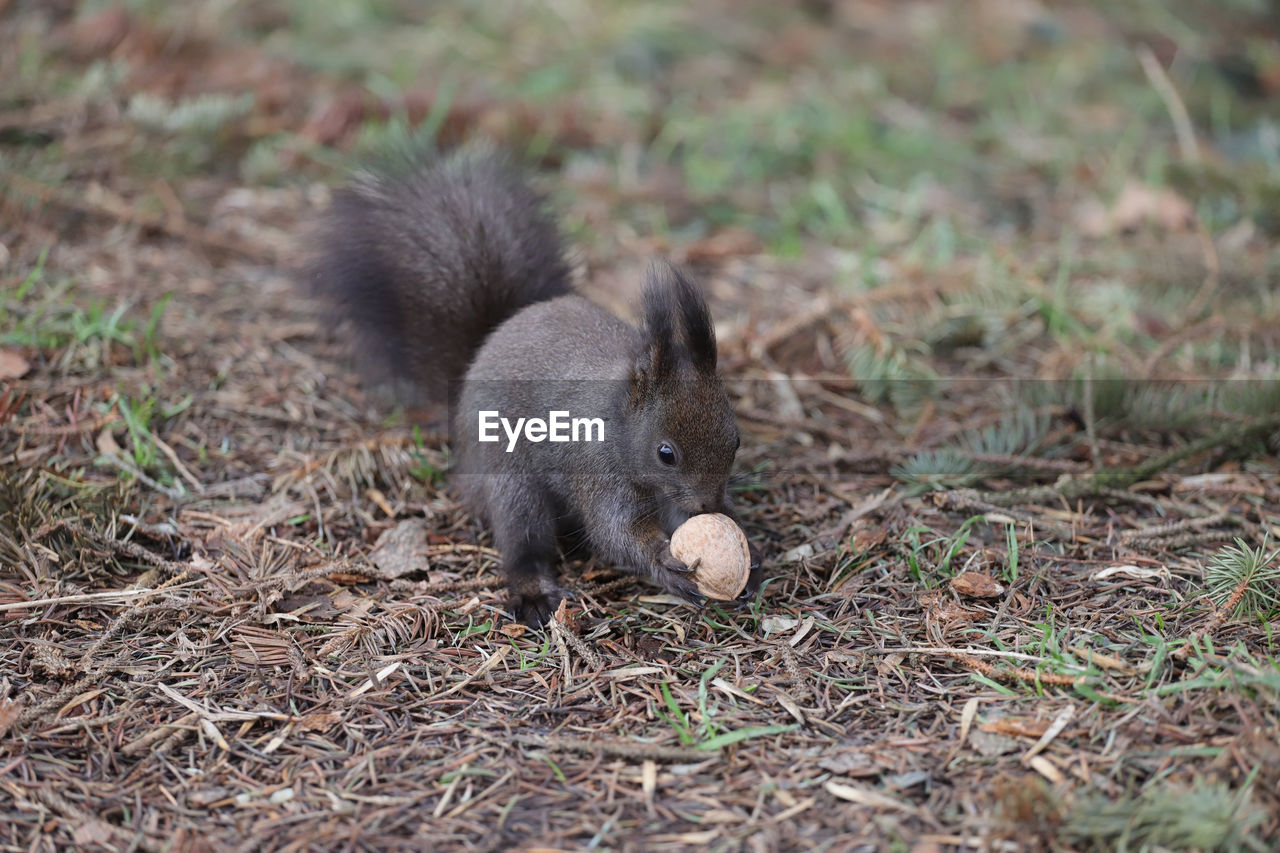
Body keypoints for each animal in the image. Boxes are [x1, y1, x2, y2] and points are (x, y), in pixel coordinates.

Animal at [304, 147, 762, 625]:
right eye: (665, 454)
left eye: (736, 440)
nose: (709, 505)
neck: (618, 419)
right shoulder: (598, 472)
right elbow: (616, 533)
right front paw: (667, 564)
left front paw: (749, 553)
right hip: (510, 485)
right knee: (522, 543)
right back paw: (534, 594)